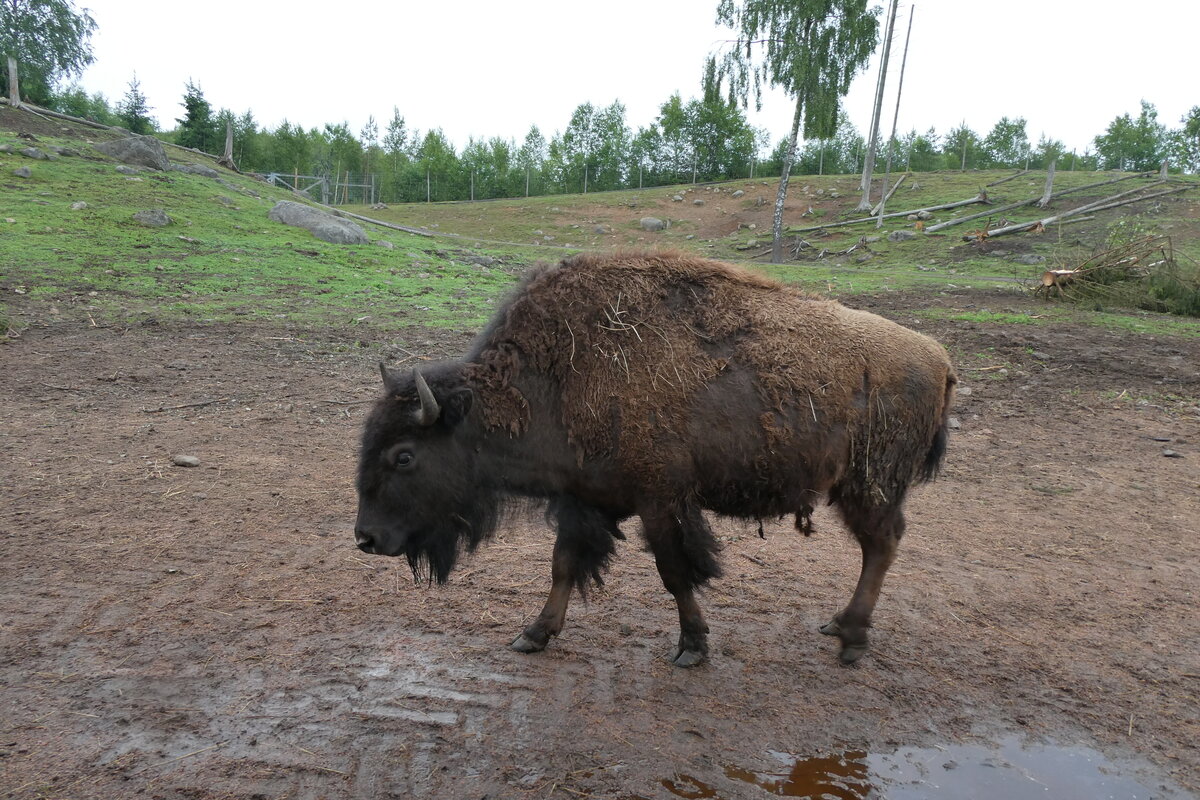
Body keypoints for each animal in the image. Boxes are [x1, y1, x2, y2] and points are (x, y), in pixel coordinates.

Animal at [355, 251, 956, 666]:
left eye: (404, 456)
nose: (366, 538)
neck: (554, 381)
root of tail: (938, 356)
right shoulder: (584, 500)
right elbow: (563, 565)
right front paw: (533, 634)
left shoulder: (662, 500)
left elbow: (675, 571)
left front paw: (692, 647)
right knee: (879, 545)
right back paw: (838, 627)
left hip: (870, 485)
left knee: (881, 544)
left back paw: (851, 639)